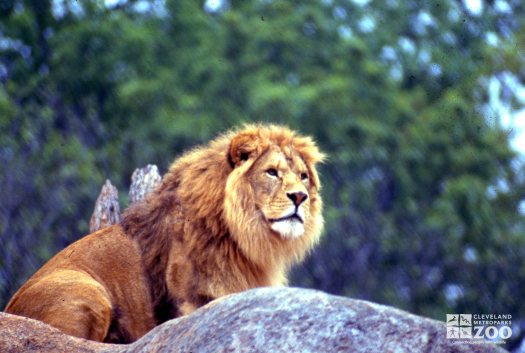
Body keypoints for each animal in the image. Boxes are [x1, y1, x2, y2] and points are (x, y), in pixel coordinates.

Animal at [3, 124, 324, 340]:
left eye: (303, 177)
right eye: (272, 172)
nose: (300, 197)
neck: (242, 235)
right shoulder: (192, 300)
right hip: (86, 288)